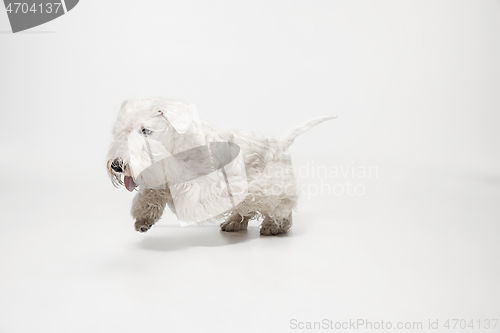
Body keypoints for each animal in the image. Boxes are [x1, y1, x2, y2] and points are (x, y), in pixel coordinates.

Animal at [108, 97, 336, 235]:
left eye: (145, 130)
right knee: (249, 208)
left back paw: (274, 226)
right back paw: (235, 223)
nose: (117, 165)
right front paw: (143, 219)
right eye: (120, 131)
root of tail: (280, 143)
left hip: (272, 184)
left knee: (280, 206)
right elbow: (150, 194)